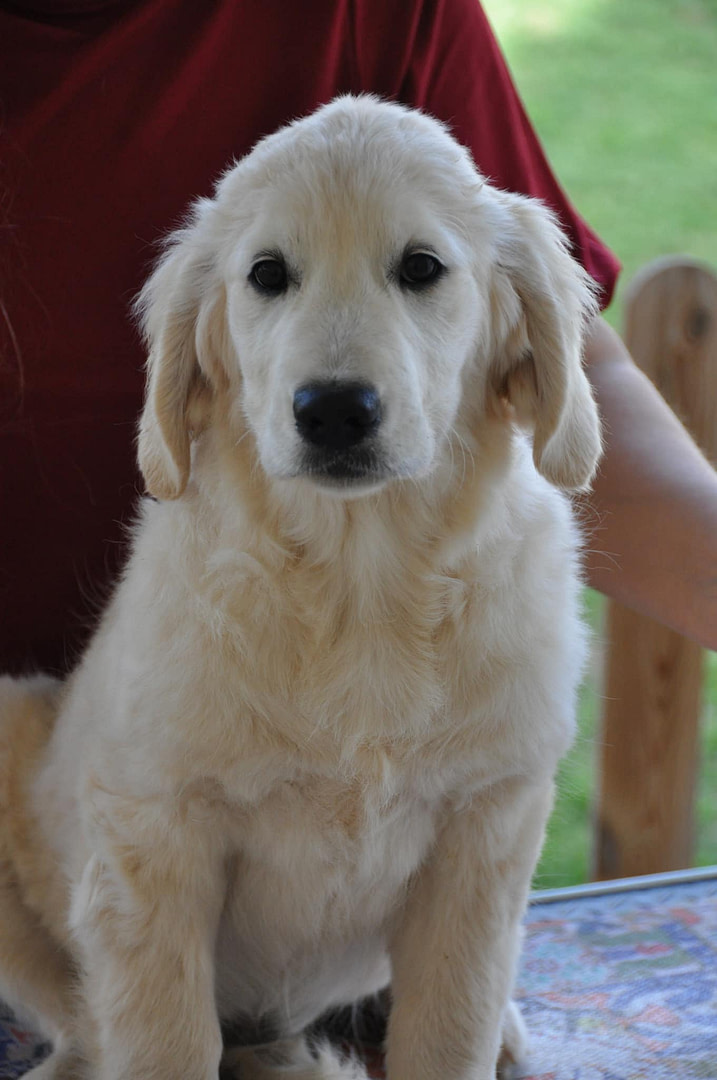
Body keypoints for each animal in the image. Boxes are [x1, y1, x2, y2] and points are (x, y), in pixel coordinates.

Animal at [0, 96, 601, 1080]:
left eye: (421, 268)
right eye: (267, 275)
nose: (333, 410)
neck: (360, 587)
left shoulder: (486, 828)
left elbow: (452, 1025)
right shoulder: (153, 834)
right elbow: (163, 1036)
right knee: (75, 1009)